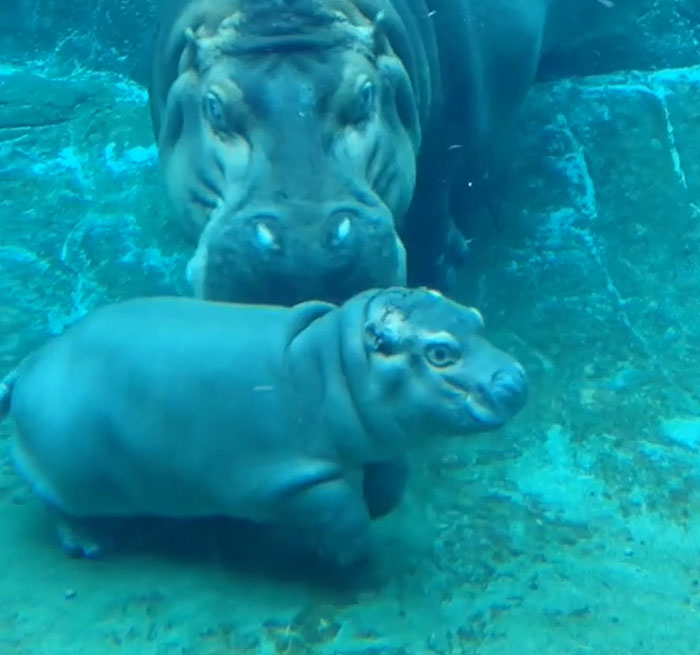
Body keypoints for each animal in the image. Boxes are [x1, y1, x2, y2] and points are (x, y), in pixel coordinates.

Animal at [0, 287, 527, 565]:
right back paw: (91, 544)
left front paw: (379, 503)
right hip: (67, 474)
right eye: (440, 352)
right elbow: (342, 513)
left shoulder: (381, 435)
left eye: (475, 318)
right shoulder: (285, 480)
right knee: (53, 503)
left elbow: (394, 475)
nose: (517, 378)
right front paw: (351, 558)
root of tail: (27, 366)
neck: (334, 364)